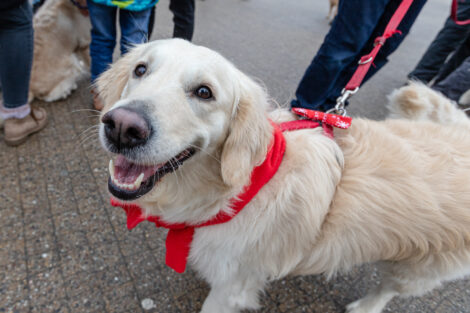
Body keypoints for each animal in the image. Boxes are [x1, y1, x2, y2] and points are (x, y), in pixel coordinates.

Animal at [95, 39, 470, 312]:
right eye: (140, 69)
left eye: (204, 92)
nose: (122, 127)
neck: (236, 191)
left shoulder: (233, 287)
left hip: (420, 267)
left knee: (388, 289)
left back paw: (365, 306)